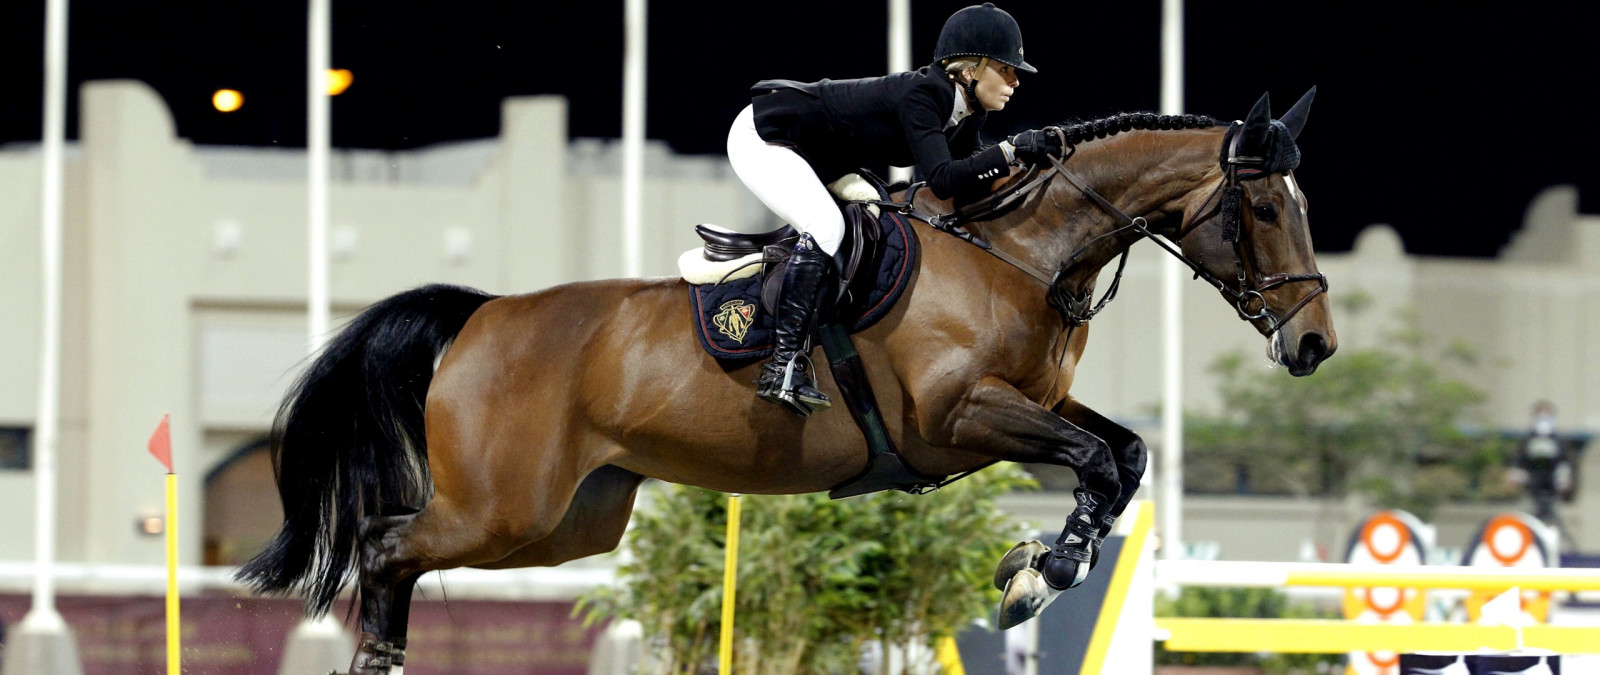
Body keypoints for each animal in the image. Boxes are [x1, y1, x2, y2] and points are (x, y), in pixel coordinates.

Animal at [238, 89, 1335, 674]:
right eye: (1265, 210)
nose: (1316, 345)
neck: (1018, 249)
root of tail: (480, 314)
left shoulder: (1036, 403)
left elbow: (1124, 453)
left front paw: (1037, 563)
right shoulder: (959, 415)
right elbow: (1095, 463)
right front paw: (1043, 571)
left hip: (568, 523)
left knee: (403, 553)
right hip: (506, 507)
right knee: (385, 545)